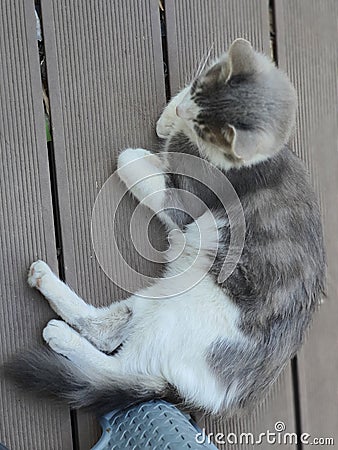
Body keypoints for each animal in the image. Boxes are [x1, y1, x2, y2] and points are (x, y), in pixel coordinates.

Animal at [7, 39, 324, 418]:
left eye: (205, 127)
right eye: (199, 89)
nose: (186, 111)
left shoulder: (184, 199)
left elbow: (136, 165)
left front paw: (140, 152)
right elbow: (166, 125)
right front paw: (169, 117)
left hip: (186, 312)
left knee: (119, 366)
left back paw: (60, 335)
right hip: (163, 296)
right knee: (108, 330)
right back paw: (43, 280)